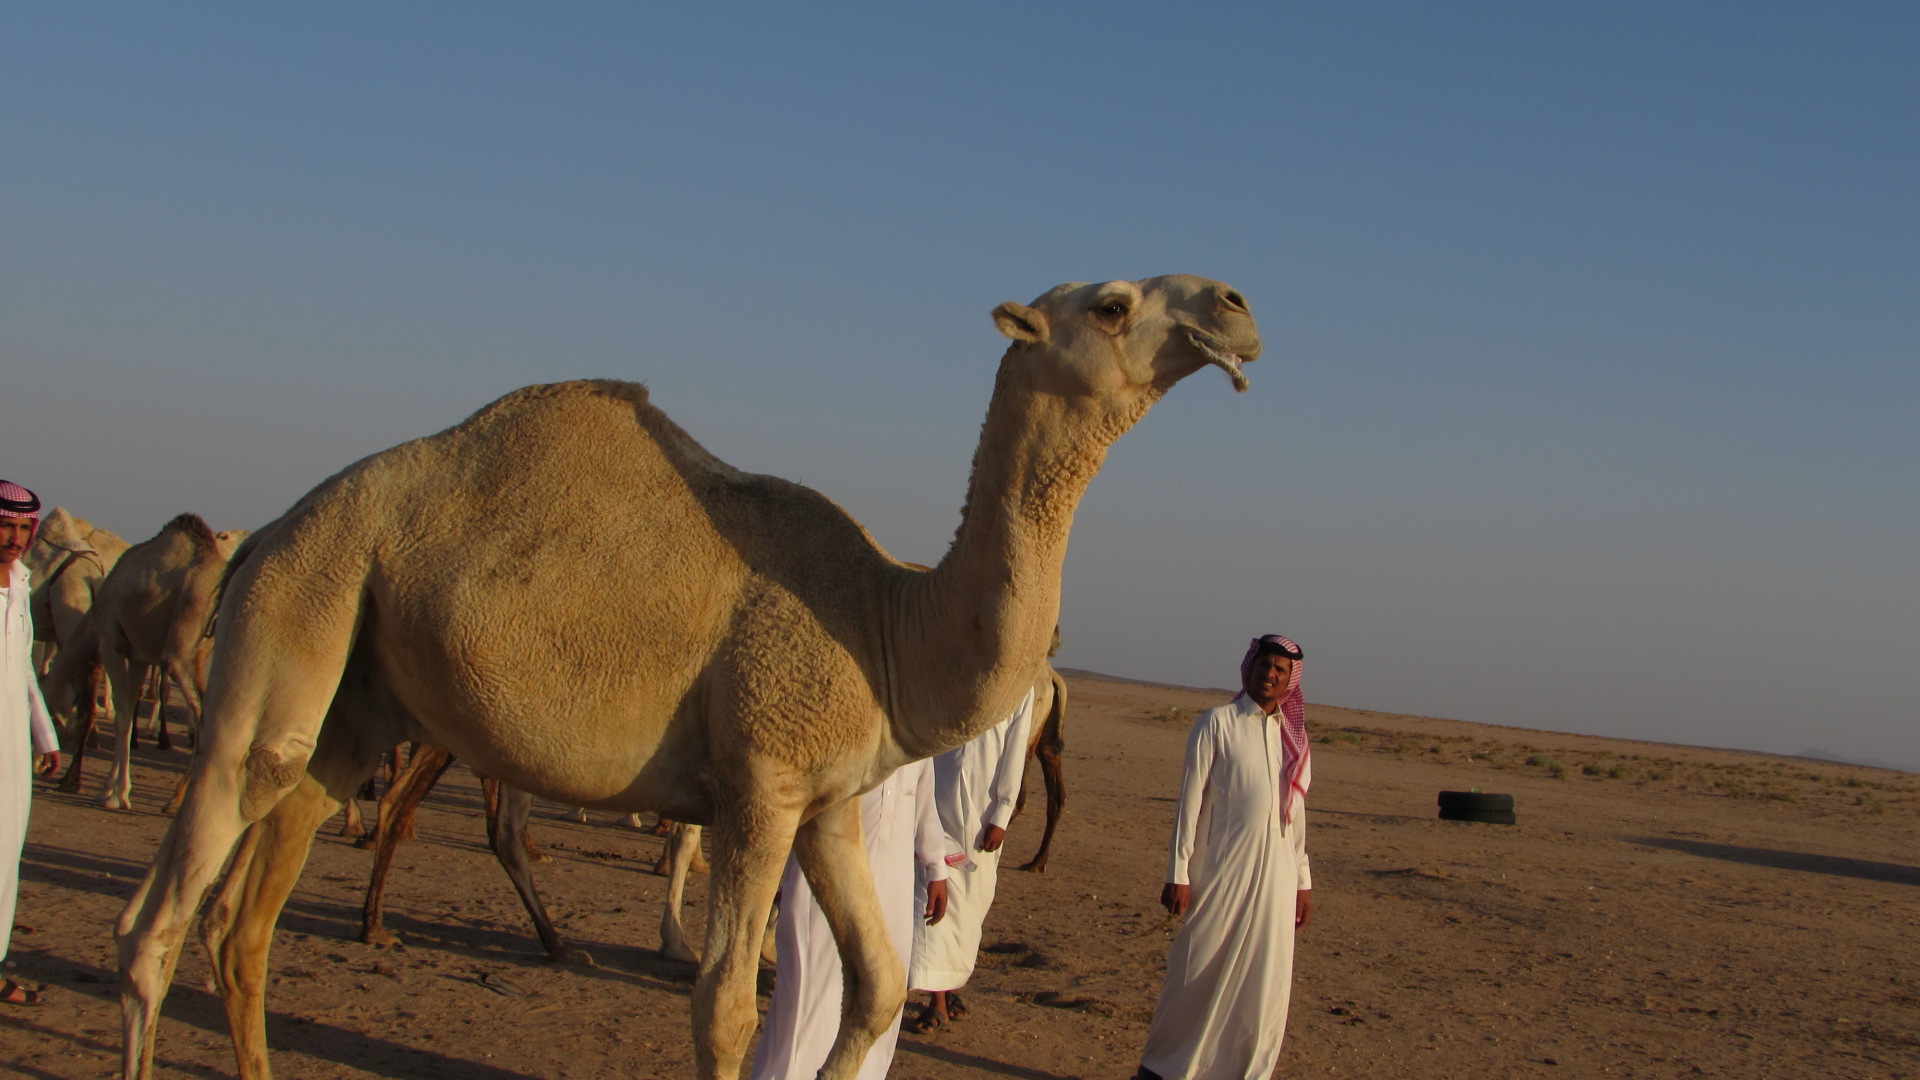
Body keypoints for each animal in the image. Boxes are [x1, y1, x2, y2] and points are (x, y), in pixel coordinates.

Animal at [43, 514, 248, 810]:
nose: (42, 763)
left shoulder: (111, 642)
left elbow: (122, 716)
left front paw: (116, 795)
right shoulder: (138, 655)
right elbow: (129, 711)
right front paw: (110, 788)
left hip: (180, 649)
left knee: (202, 714)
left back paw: (176, 799)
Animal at [115, 274, 1261, 1080]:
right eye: (1112, 302)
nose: (1237, 305)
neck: (885, 627)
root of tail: (264, 531)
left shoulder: (823, 804)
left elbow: (879, 987)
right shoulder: (757, 782)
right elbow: (727, 1006)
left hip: (352, 699)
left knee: (246, 924)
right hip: (298, 605)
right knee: (160, 919)